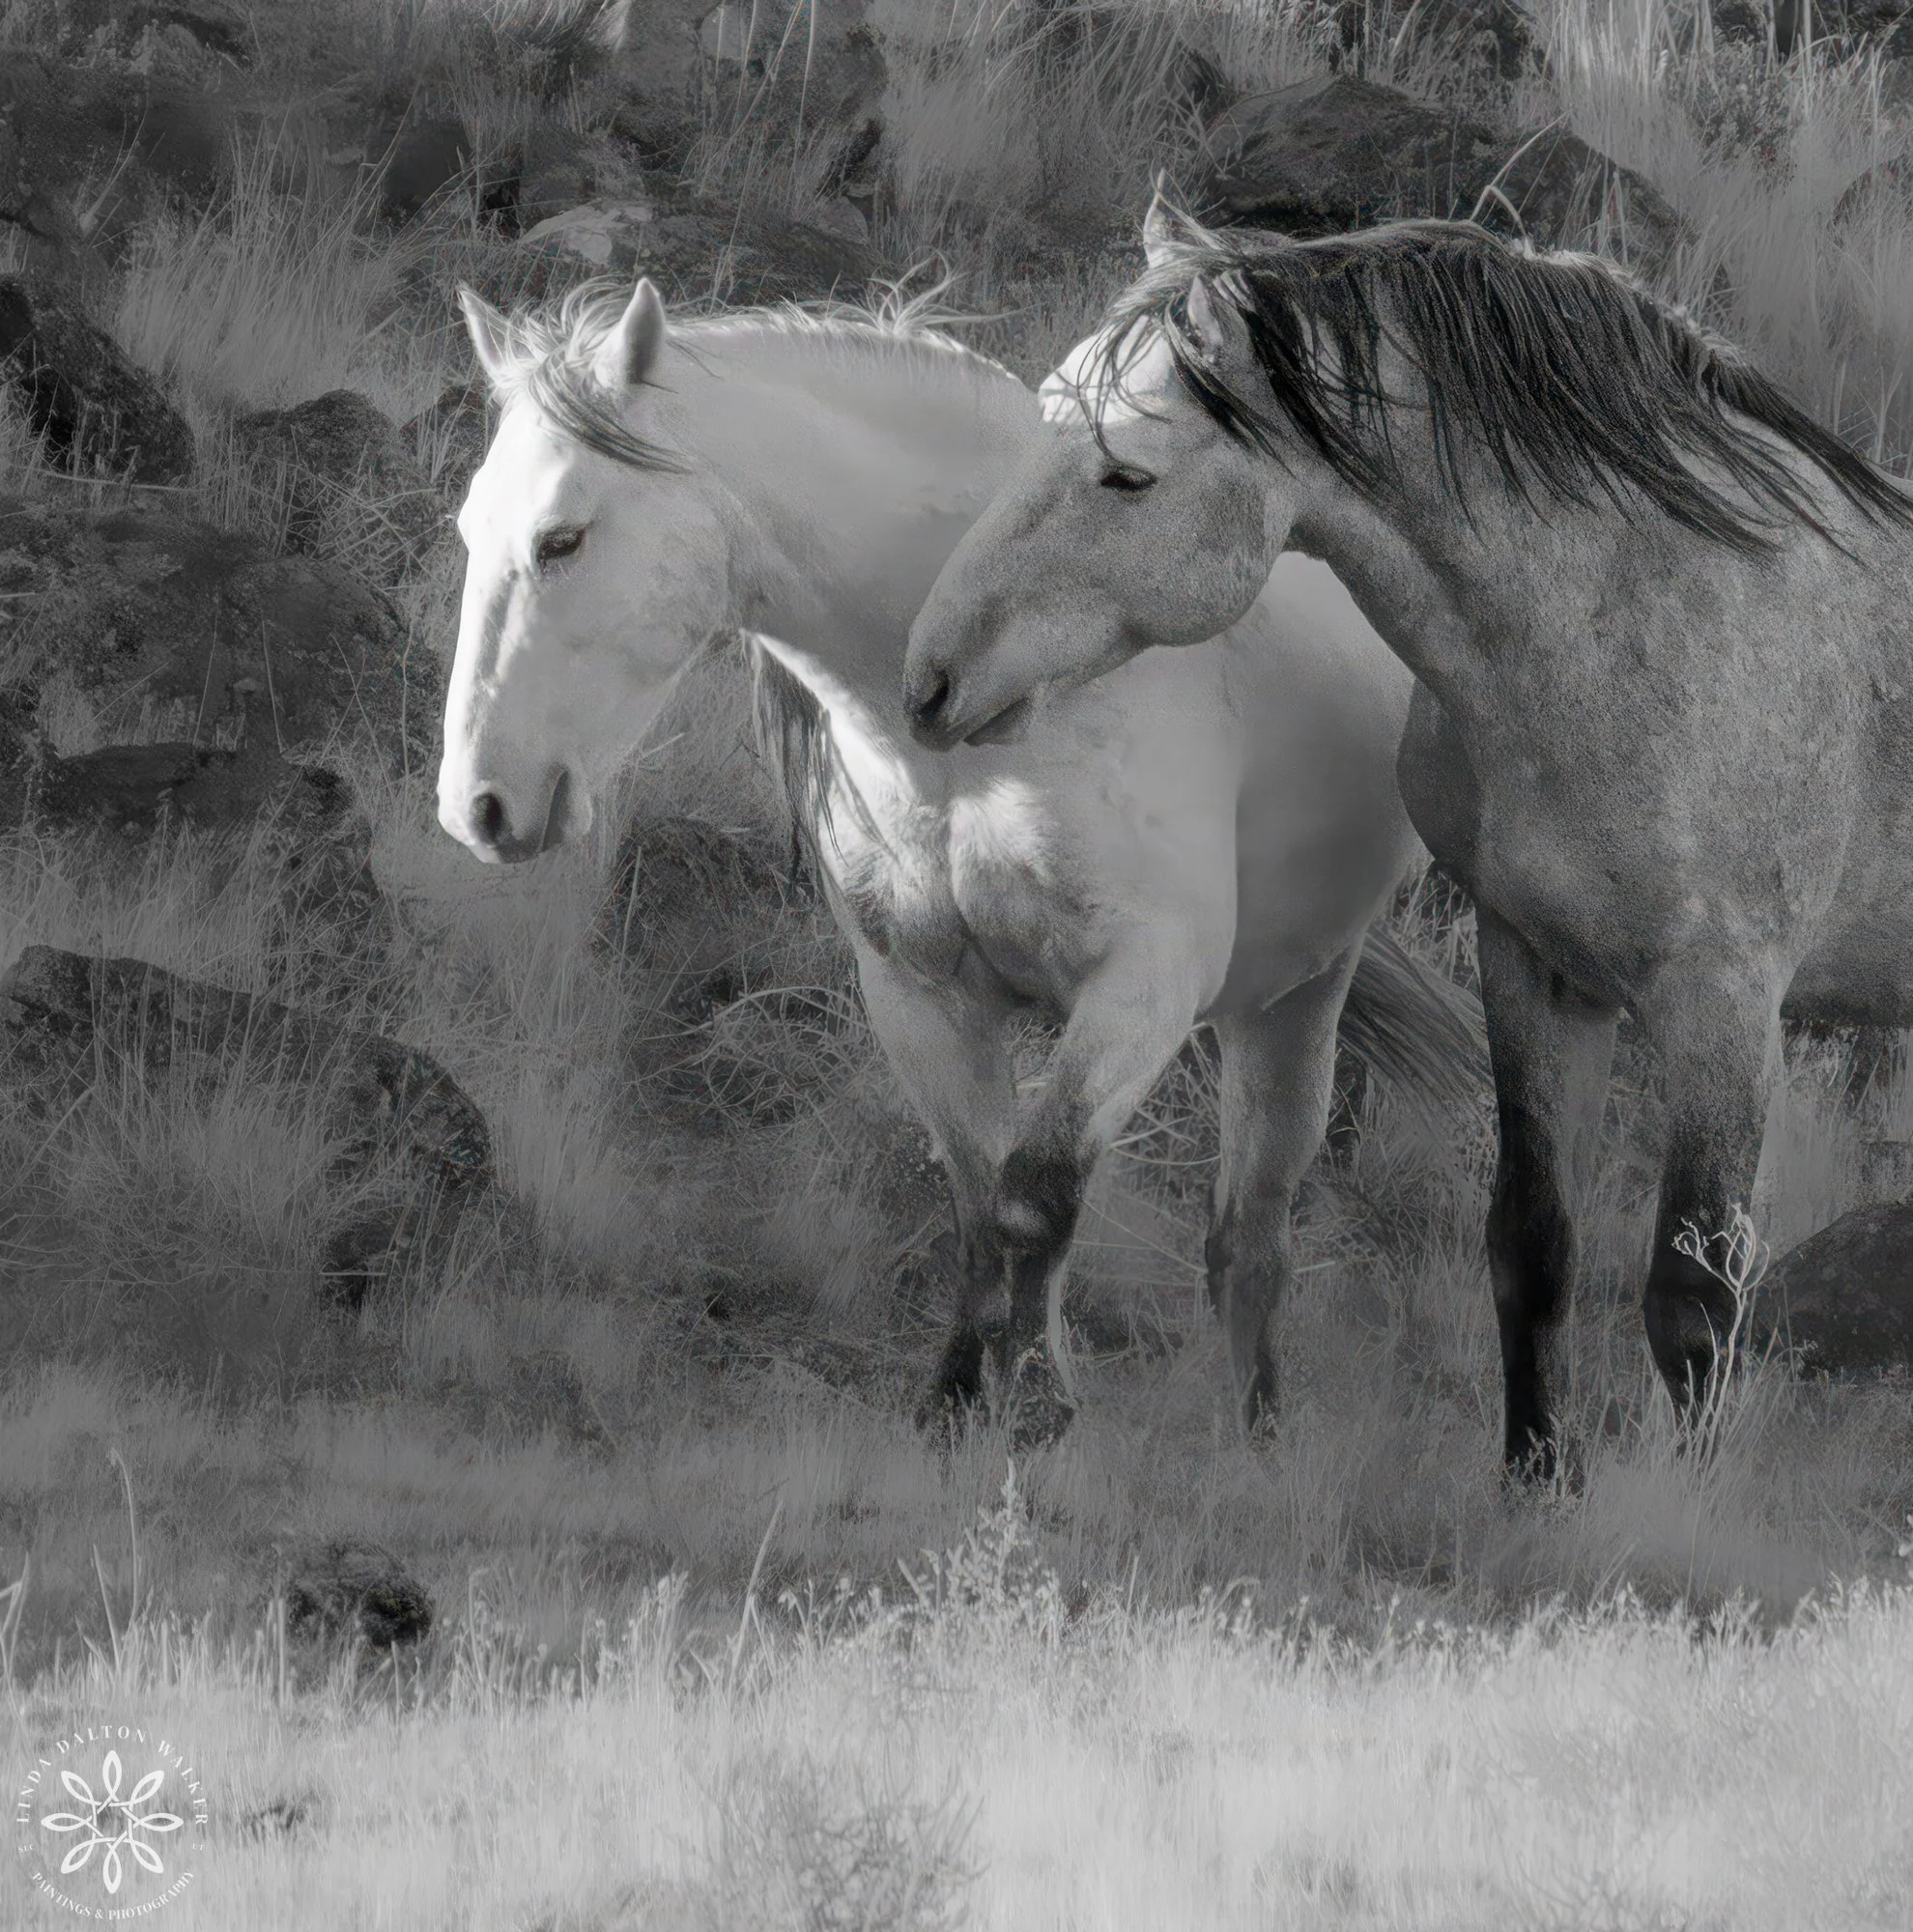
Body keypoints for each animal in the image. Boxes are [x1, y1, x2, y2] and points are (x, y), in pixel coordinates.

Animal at [436, 272, 1486, 1436]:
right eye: (471, 527)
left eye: (562, 540)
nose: (479, 803)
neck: (985, 728)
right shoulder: (919, 995)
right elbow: (981, 1202)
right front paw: (957, 1400)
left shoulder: (1142, 989)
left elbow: (1039, 1196)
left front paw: (1037, 1405)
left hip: (1293, 1000)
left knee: (1250, 1238)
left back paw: (1256, 1432)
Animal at [903, 193, 1913, 1477]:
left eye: (1127, 473)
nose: (931, 679)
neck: (1644, 624)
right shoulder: (1533, 963)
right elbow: (1533, 1243)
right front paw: (1538, 1478)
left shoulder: (1722, 1001)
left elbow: (1696, 1296)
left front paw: (1674, 1505)